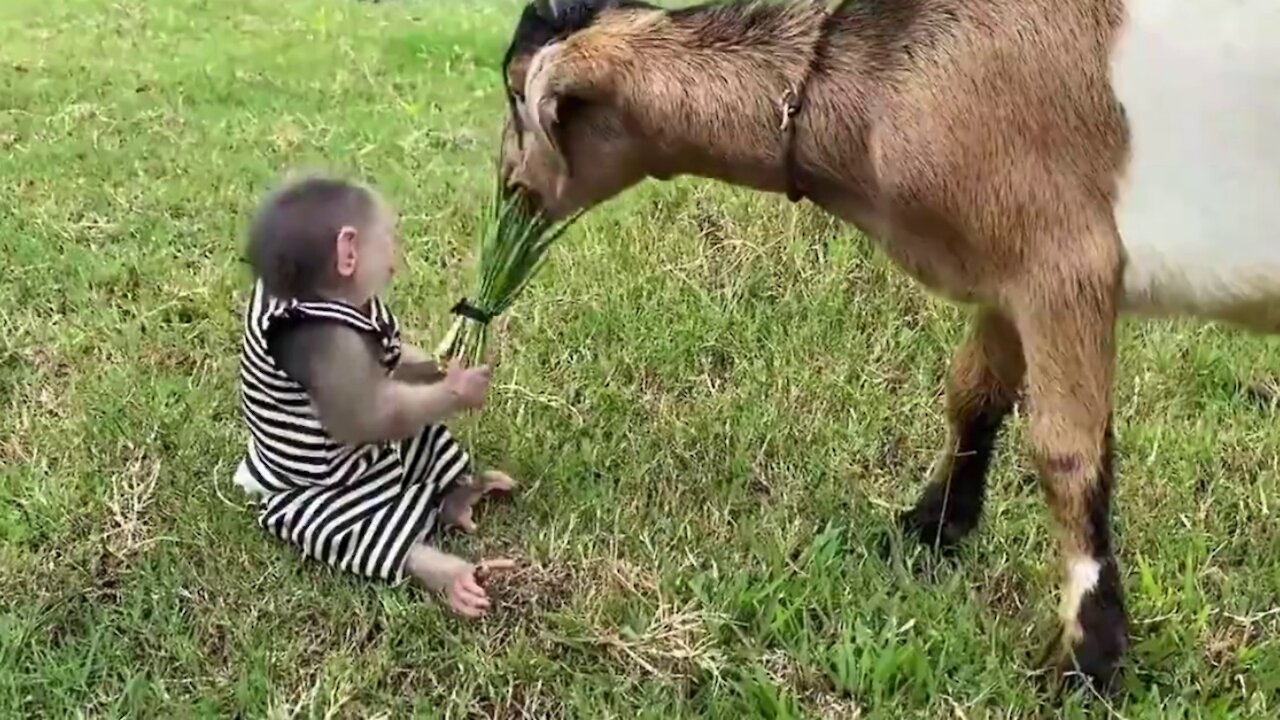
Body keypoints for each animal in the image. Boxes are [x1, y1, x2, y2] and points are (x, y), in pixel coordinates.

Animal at [232, 174, 512, 617]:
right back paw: (452, 577)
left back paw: (461, 497)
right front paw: (463, 384)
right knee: (371, 536)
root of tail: (253, 483)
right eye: (385, 237)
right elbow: (365, 415)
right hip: (323, 510)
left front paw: (447, 364)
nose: (396, 252)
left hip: (419, 445)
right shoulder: (327, 343)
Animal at [494, 0, 1280, 691]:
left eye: (515, 93)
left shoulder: (1065, 262)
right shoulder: (1005, 273)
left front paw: (1089, 655)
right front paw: (928, 530)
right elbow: (972, 397)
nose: (509, 191)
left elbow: (1067, 456)